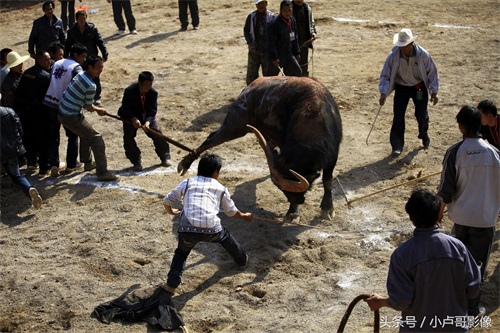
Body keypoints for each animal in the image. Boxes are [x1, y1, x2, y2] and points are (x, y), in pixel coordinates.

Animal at [179, 75, 344, 220]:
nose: (297, 201)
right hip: (235, 125)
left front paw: (327, 208)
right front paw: (293, 213)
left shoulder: (332, 155)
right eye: (284, 191)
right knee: (212, 139)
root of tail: (248, 89)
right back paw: (185, 163)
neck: (312, 117)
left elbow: (327, 180)